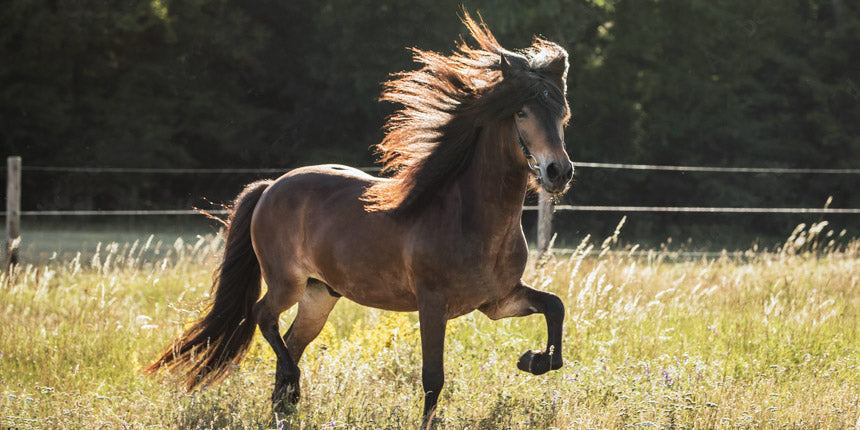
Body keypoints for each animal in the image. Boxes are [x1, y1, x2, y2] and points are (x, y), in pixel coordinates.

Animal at [147, 12, 576, 426]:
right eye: (521, 112)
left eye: (562, 114)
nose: (558, 172)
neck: (471, 218)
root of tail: (270, 187)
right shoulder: (433, 304)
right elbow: (433, 379)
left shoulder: (498, 300)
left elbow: (555, 307)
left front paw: (532, 360)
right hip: (287, 283)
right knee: (264, 318)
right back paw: (293, 389)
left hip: (320, 294)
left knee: (292, 340)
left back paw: (283, 407)